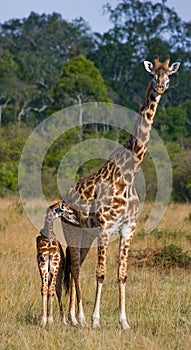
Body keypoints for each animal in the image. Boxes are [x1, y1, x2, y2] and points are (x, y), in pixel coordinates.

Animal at [57, 56, 180, 330]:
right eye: (153, 74)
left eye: (168, 74)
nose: (160, 87)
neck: (130, 171)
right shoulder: (105, 228)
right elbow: (101, 274)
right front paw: (95, 320)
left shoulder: (127, 229)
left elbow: (122, 274)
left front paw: (124, 322)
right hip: (74, 230)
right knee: (75, 267)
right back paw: (78, 318)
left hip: (87, 234)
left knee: (76, 265)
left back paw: (75, 317)